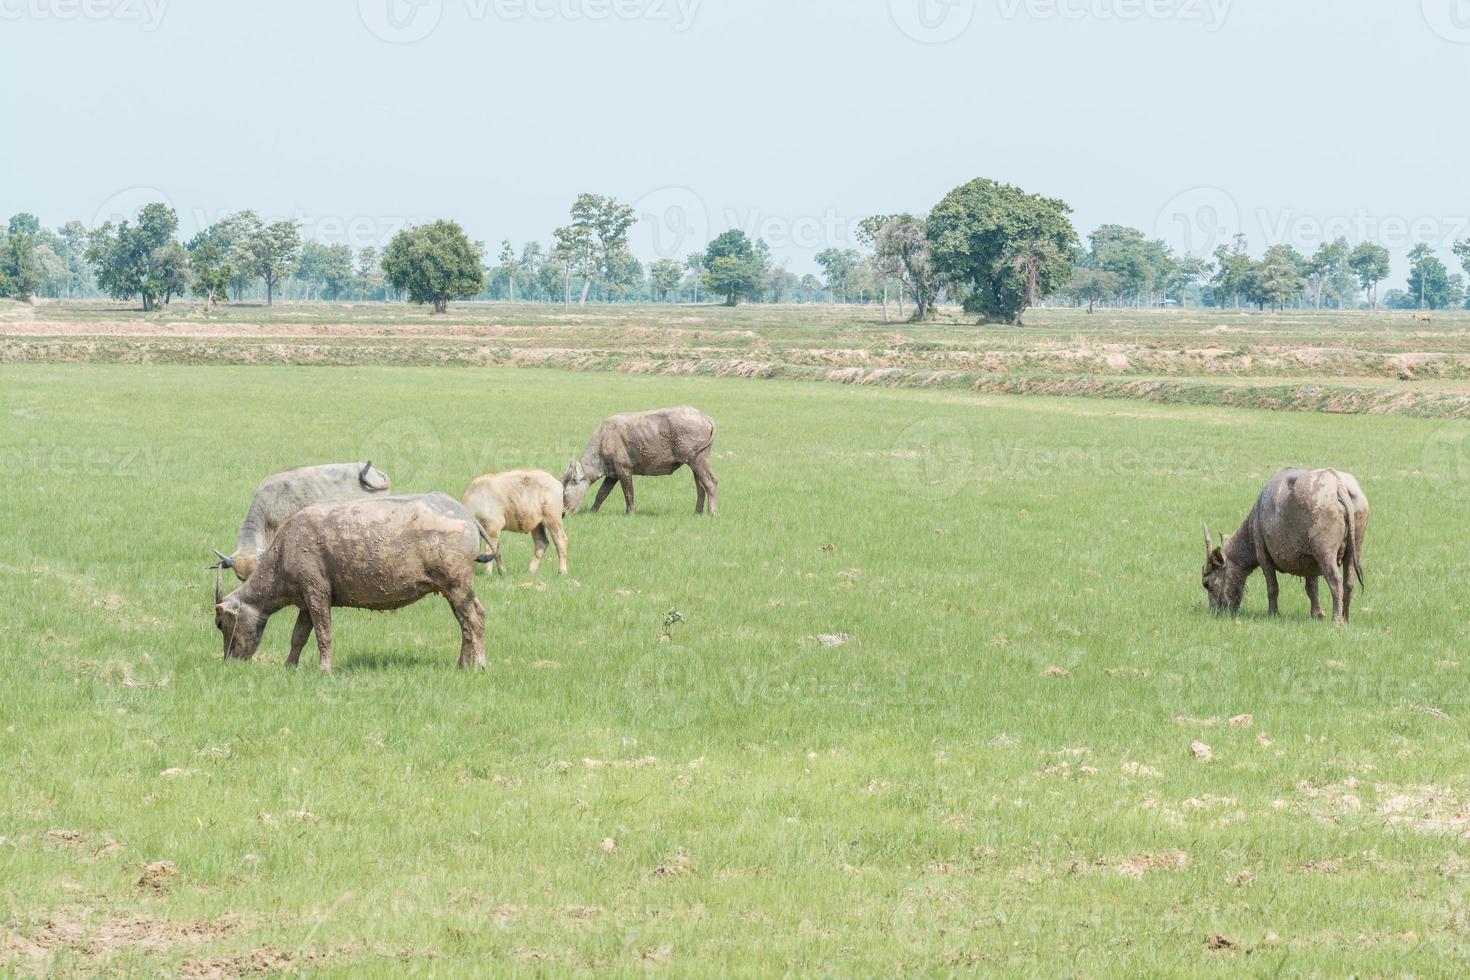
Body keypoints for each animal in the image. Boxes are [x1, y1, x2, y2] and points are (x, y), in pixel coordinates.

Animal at [210, 493, 493, 669]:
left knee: (474, 619)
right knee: (466, 624)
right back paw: (461, 664)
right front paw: (289, 665)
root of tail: (467, 515)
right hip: (453, 589)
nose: (229, 661)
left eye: (220, 623)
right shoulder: (305, 602)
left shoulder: (317, 593)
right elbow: (298, 636)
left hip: (457, 585)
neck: (284, 551)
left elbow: (323, 633)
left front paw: (324, 668)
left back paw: (479, 664)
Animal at [561, 405, 717, 517]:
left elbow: (629, 493)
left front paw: (630, 513)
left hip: (698, 460)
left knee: (711, 482)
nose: (562, 513)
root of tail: (705, 417)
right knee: (701, 488)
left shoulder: (624, 469)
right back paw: (697, 513)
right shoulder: (612, 475)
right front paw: (592, 511)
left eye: (565, 493)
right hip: (694, 462)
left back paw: (712, 513)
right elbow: (601, 494)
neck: (604, 439)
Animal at [1205, 470, 1364, 625]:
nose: (1215, 613)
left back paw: (1337, 620)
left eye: (1207, 584)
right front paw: (1317, 614)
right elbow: (1312, 589)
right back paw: (1346, 617)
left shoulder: (1263, 556)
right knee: (1349, 582)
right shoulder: (1309, 561)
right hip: (1355, 546)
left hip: (1325, 552)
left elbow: (1272, 587)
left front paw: (1272, 613)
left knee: (1335, 580)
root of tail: (1338, 485)